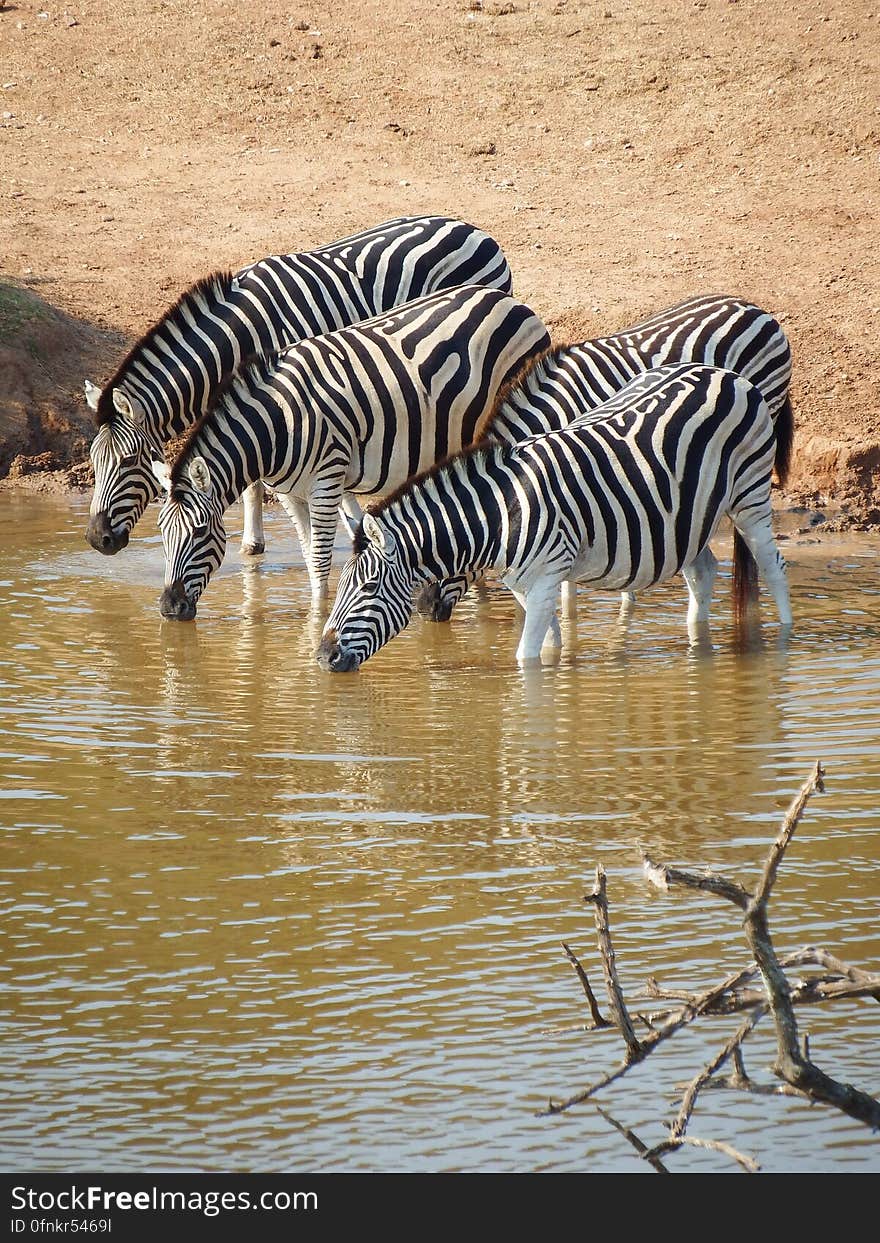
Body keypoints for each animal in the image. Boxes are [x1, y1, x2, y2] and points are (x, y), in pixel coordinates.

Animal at [151, 279, 549, 614]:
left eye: (200, 531)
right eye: (163, 533)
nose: (169, 608)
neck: (277, 423)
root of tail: (511, 301)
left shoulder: (327, 481)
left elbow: (320, 560)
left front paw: (316, 620)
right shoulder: (290, 493)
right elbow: (309, 554)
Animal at [315, 362, 790, 671]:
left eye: (369, 587)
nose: (322, 657)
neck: (501, 512)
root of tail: (725, 373)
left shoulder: (546, 577)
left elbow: (526, 658)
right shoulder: (525, 585)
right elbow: (548, 648)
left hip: (749, 494)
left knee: (773, 567)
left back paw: (783, 639)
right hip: (687, 519)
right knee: (703, 571)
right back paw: (697, 643)